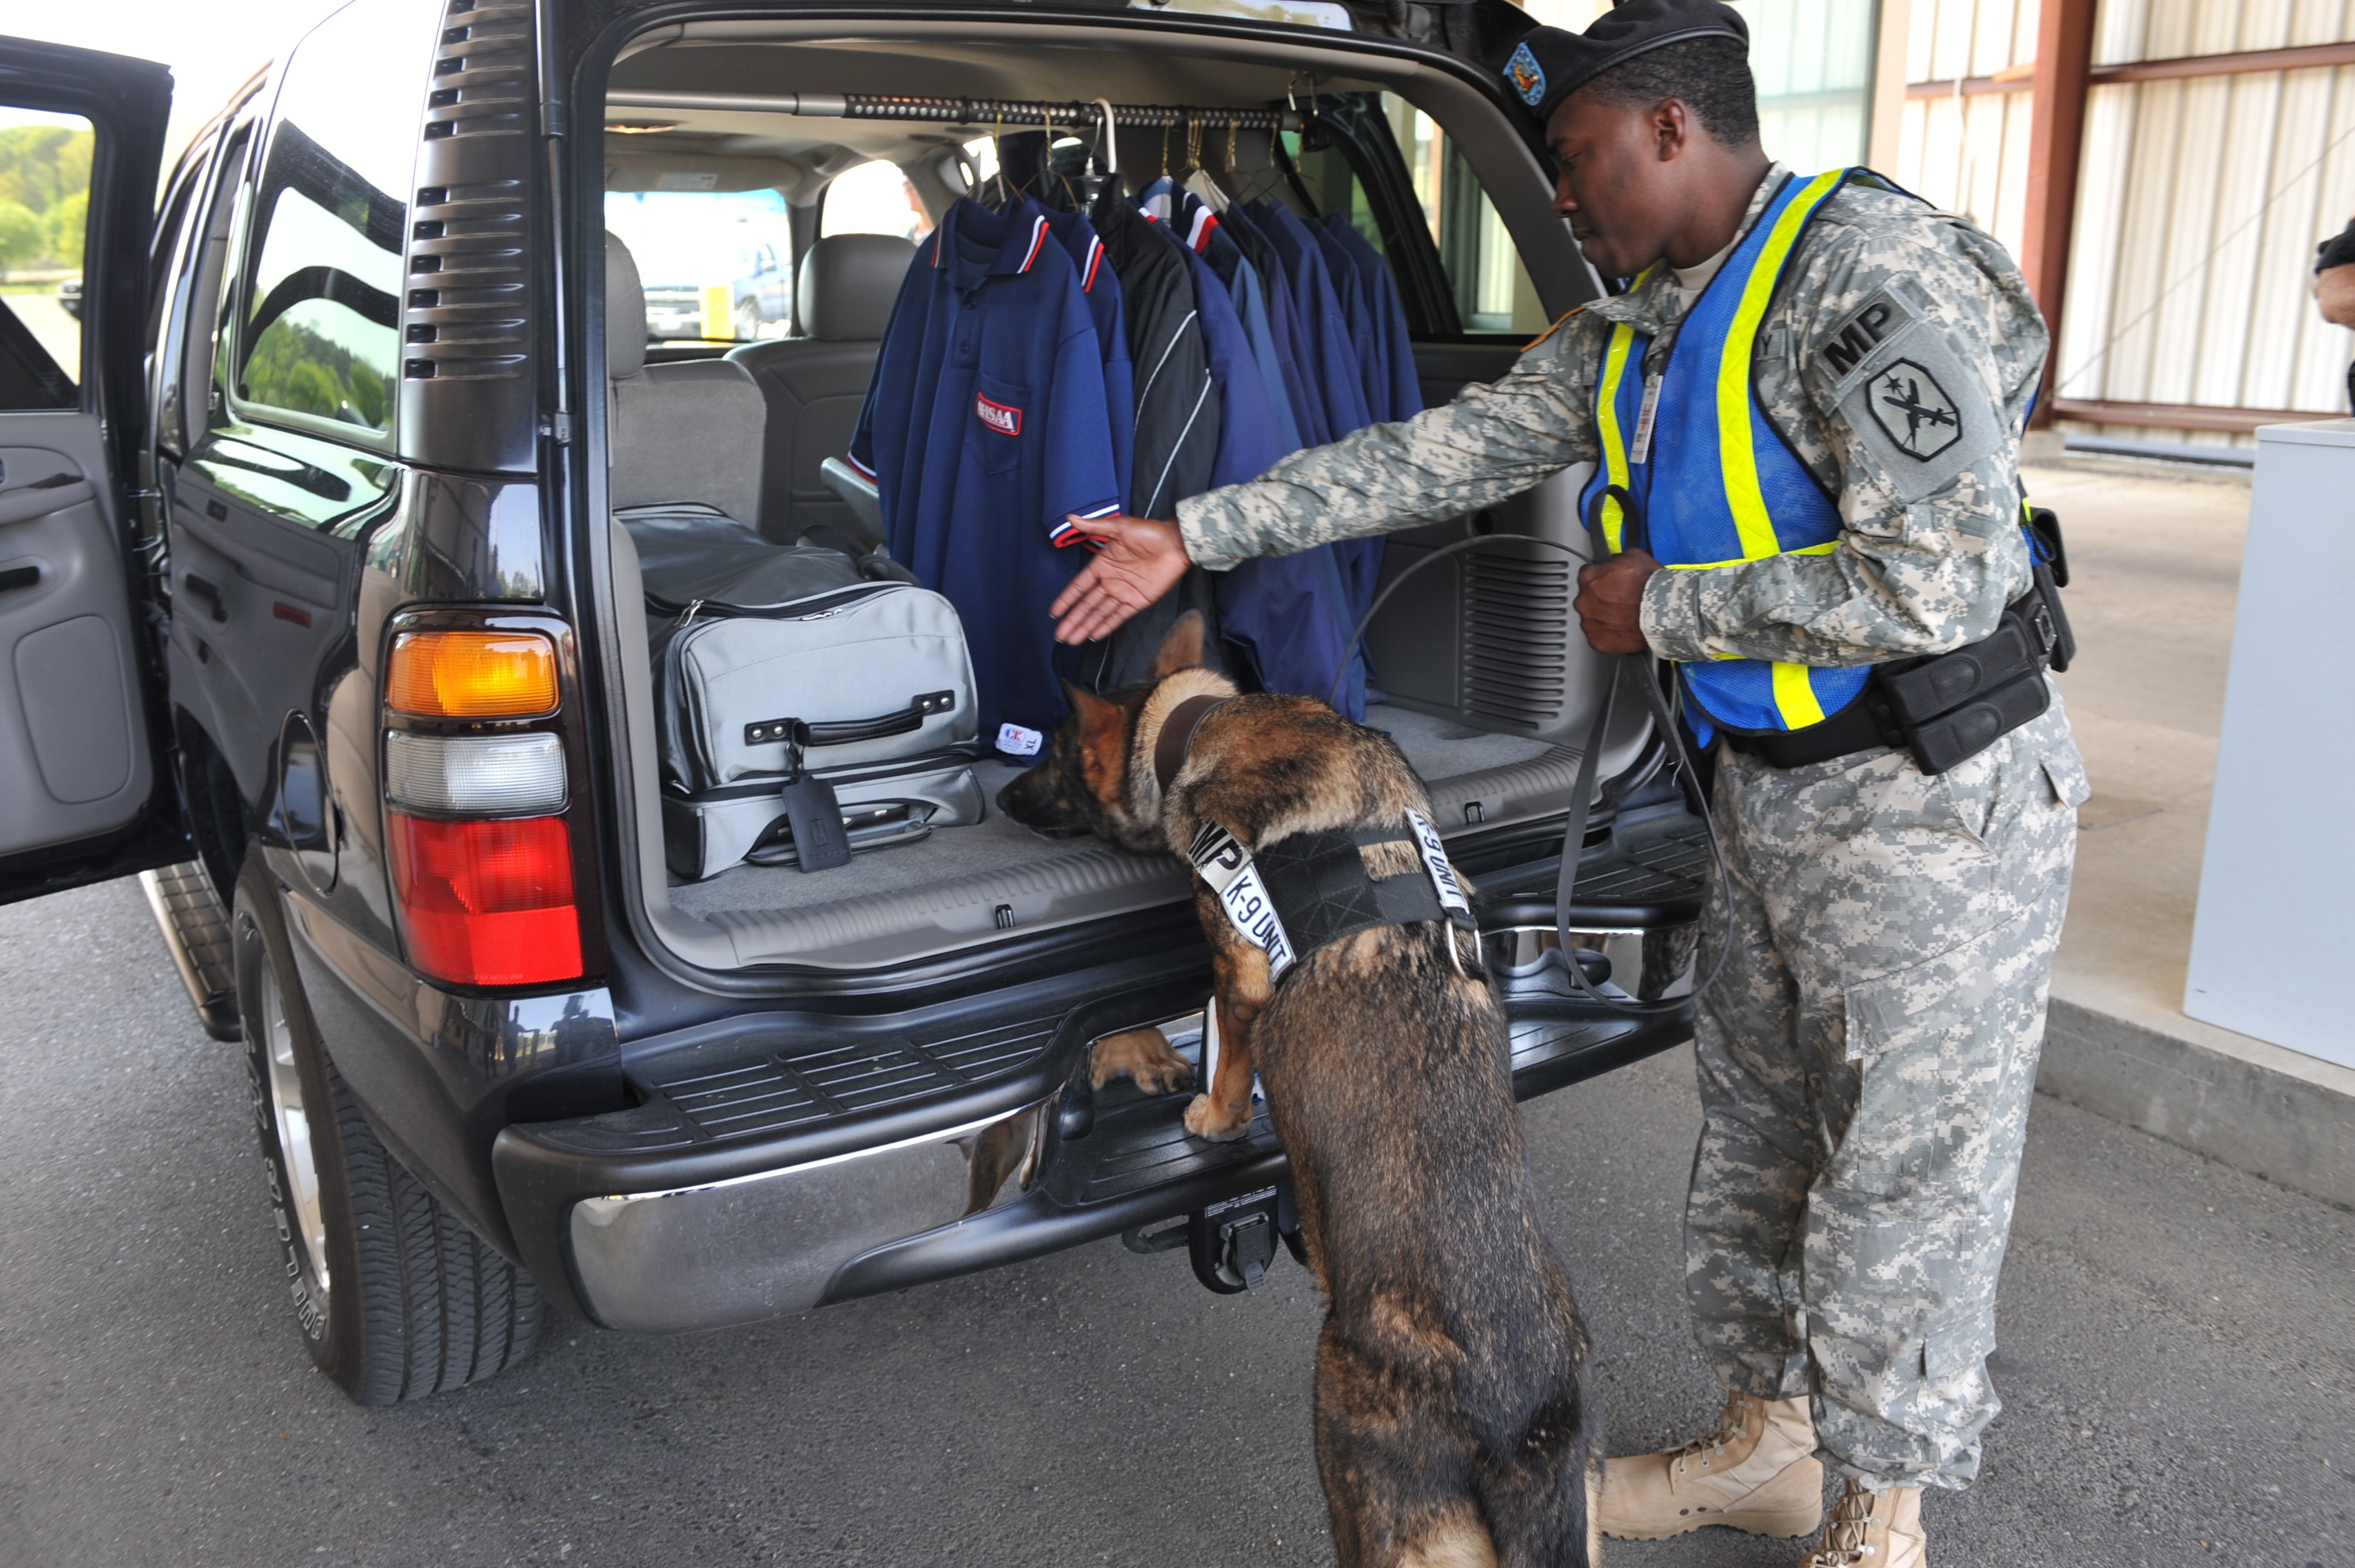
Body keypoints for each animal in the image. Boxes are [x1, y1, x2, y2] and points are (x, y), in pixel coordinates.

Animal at [993, 612, 1601, 1563]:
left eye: (1054, 756)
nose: (999, 797)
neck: (1202, 719)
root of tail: (1512, 1423)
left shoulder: (1238, 972)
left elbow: (1230, 1055)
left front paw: (1212, 1115)